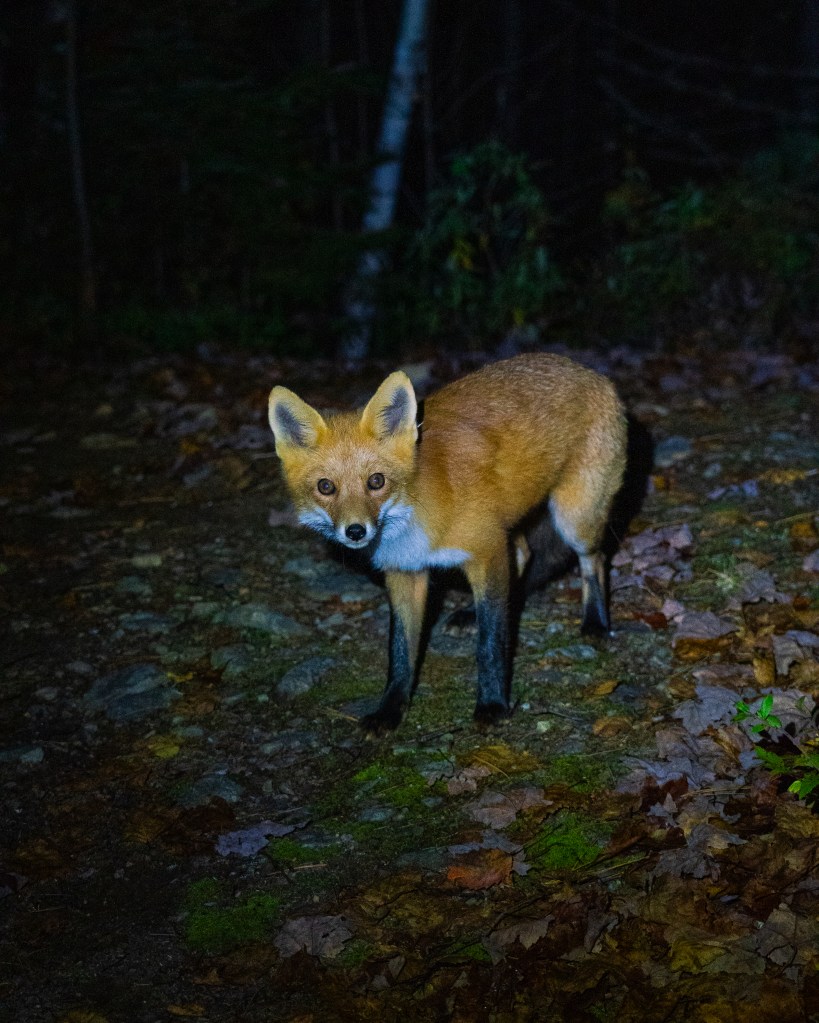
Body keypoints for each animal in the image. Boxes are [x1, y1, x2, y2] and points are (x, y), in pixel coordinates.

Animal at [268, 353, 627, 735]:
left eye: (376, 481)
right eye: (326, 487)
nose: (355, 531)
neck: (413, 521)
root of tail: (585, 369)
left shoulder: (487, 550)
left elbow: (490, 642)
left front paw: (492, 704)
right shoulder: (405, 572)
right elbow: (400, 652)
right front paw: (390, 710)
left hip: (575, 517)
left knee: (594, 559)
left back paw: (595, 622)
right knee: (524, 552)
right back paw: (474, 611)